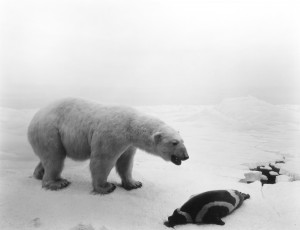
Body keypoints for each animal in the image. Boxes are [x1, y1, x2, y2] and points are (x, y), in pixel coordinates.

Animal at [27, 97, 188, 194]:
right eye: (174, 142)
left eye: (183, 141)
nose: (186, 156)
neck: (131, 125)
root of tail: (34, 118)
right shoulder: (112, 135)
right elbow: (102, 160)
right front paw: (106, 187)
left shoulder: (128, 144)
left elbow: (126, 162)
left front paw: (134, 183)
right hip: (50, 131)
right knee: (55, 157)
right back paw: (57, 182)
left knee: (48, 157)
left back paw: (39, 174)